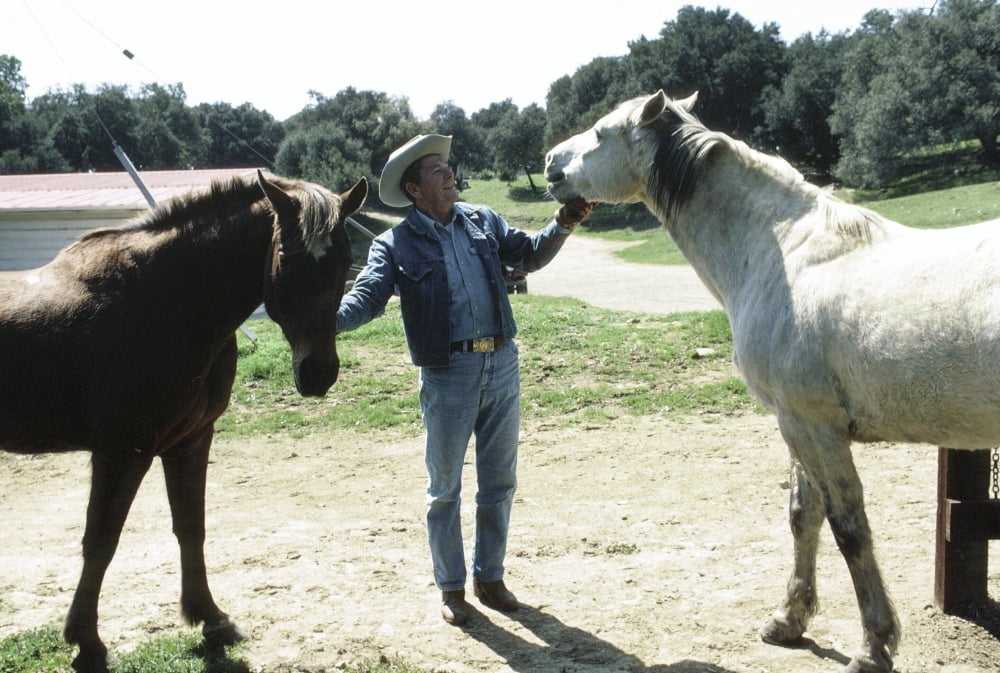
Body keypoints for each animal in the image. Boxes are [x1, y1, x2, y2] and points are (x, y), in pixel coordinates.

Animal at [0, 170, 366, 673]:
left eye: (347, 260)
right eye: (288, 259)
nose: (318, 373)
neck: (164, 303)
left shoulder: (190, 440)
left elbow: (191, 526)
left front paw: (210, 618)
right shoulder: (123, 450)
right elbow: (101, 540)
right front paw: (86, 641)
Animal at [544, 90, 1000, 673]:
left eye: (601, 134)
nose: (551, 164)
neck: (781, 249)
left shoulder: (814, 427)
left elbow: (849, 529)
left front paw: (873, 646)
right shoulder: (796, 425)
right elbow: (804, 516)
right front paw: (789, 620)